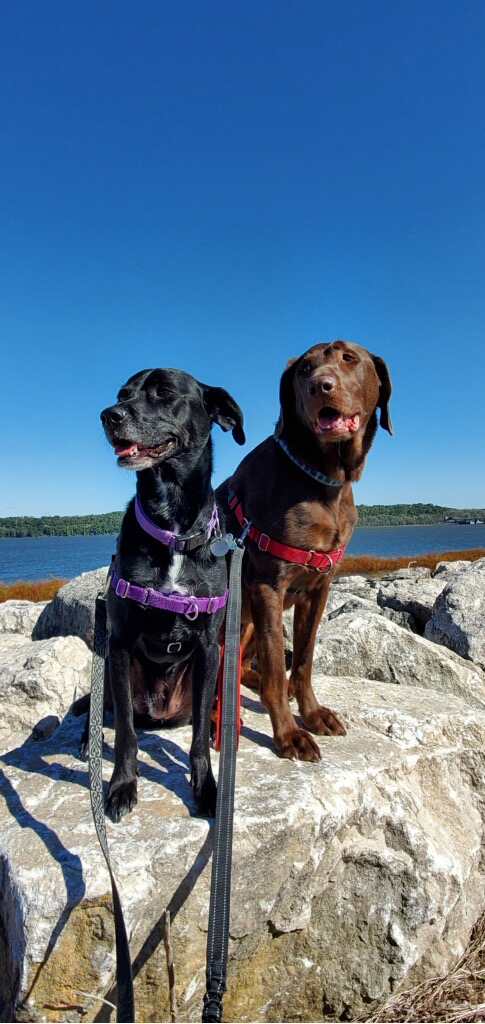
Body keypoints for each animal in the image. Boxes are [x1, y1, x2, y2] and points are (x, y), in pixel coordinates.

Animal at [81, 368, 246, 823]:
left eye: (165, 392)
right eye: (122, 394)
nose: (109, 415)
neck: (173, 530)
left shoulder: (209, 646)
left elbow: (197, 740)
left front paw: (206, 787)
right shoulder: (118, 644)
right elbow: (125, 735)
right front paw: (121, 786)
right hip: (107, 669)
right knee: (102, 710)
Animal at [217, 342, 392, 761]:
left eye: (350, 359)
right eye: (304, 370)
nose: (320, 387)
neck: (321, 477)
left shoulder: (317, 589)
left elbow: (304, 662)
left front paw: (312, 714)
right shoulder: (268, 586)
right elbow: (277, 676)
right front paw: (288, 734)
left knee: (247, 667)